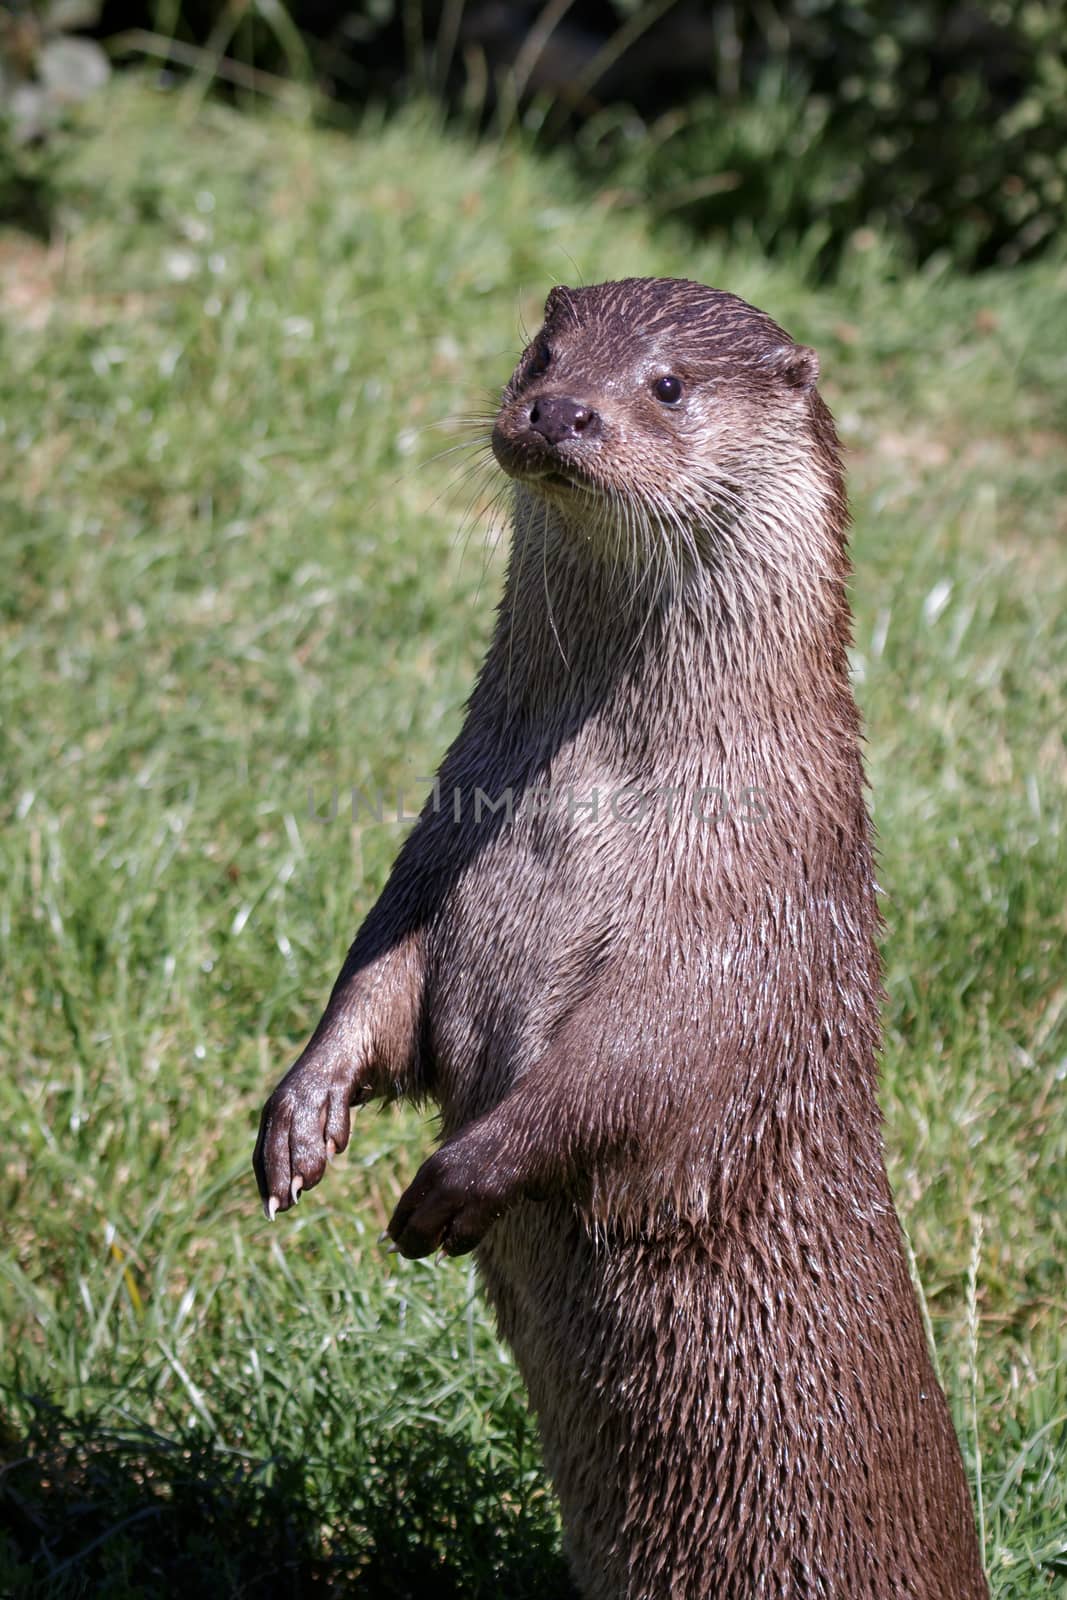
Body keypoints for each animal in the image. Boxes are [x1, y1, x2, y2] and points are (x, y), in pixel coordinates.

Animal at [254, 278, 991, 1600]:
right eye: (543, 353)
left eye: (666, 385)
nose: (562, 410)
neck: (597, 803)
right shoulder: (440, 849)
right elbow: (379, 981)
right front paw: (300, 1116)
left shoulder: (732, 928)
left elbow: (629, 1074)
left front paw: (451, 1183)